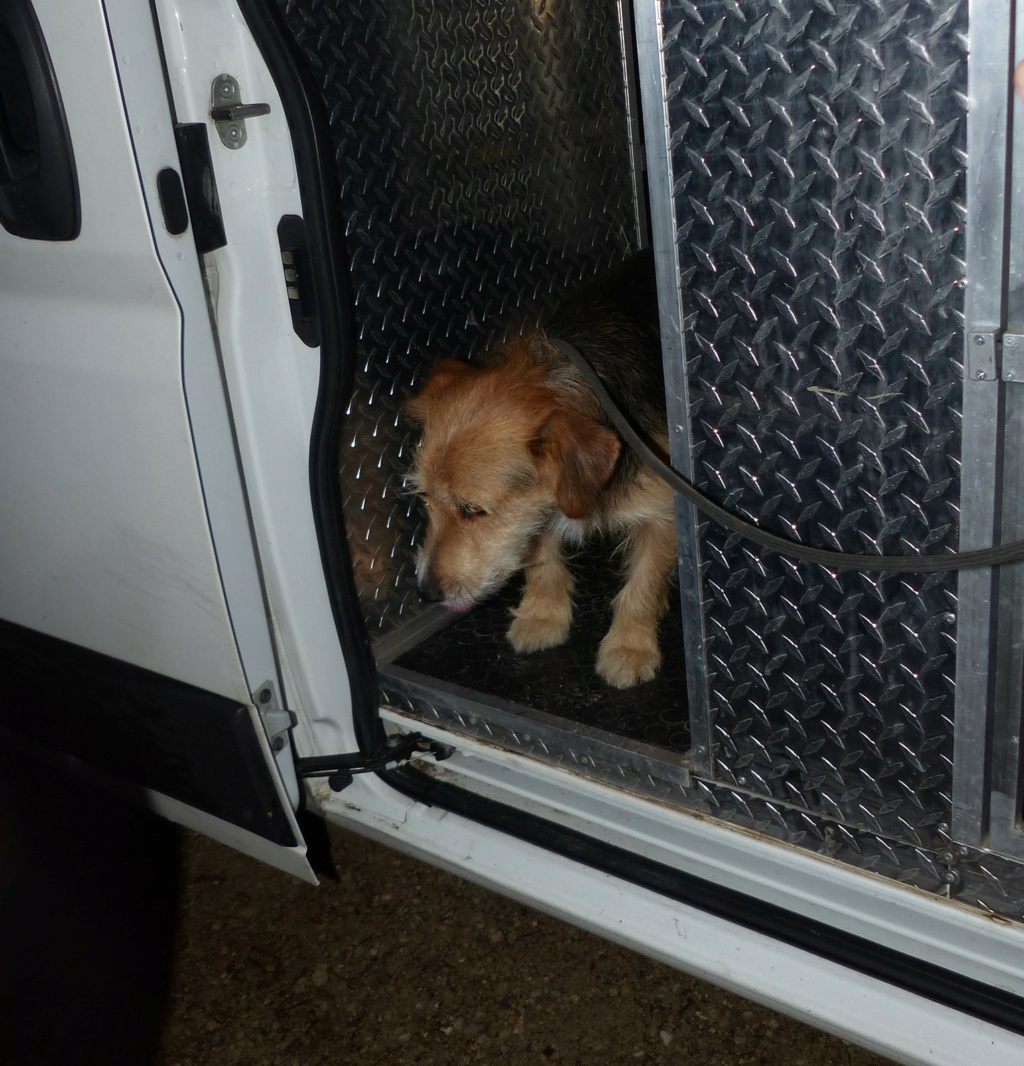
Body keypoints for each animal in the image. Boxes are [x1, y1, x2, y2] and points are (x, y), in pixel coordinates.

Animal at [402, 256, 673, 690]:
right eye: (425, 499)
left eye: (473, 510)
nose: (426, 593)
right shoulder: (531, 512)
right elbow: (540, 561)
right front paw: (542, 615)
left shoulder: (661, 513)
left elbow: (644, 585)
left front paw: (630, 647)